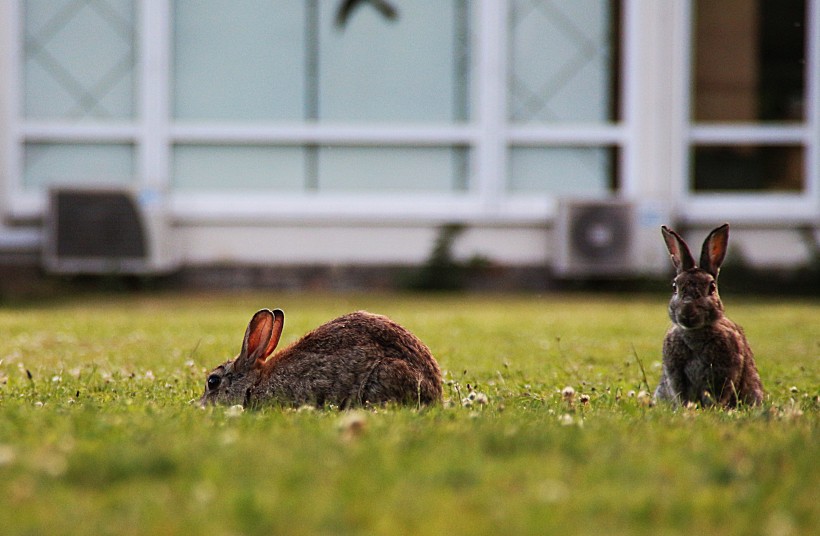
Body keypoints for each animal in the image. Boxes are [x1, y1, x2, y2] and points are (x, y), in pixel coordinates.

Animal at [652, 224, 764, 408]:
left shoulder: (723, 374)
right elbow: (681, 393)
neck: (695, 333)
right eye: (675, 287)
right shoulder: (676, 375)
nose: (687, 313)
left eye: (711, 287)